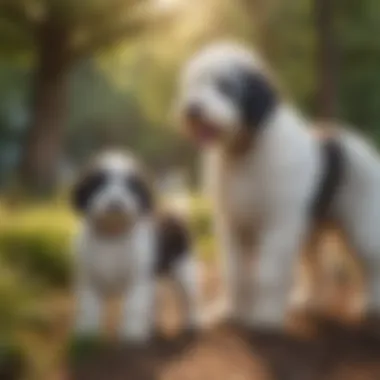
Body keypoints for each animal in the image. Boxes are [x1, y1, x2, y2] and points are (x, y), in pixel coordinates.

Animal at [72, 151, 202, 342]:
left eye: (131, 186)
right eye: (100, 182)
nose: (116, 202)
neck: (113, 236)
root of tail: (174, 212)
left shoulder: (137, 280)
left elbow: (133, 306)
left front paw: (132, 334)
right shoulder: (89, 281)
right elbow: (89, 308)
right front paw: (86, 334)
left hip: (184, 268)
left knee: (189, 297)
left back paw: (193, 321)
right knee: (156, 298)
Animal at [176, 41, 380, 332]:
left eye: (225, 86)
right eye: (192, 84)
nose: (192, 110)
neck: (245, 151)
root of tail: (357, 142)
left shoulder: (277, 222)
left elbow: (268, 272)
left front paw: (265, 317)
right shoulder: (231, 222)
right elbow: (235, 271)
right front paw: (229, 312)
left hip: (360, 219)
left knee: (370, 261)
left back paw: (370, 304)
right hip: (310, 225)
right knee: (315, 265)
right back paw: (309, 301)